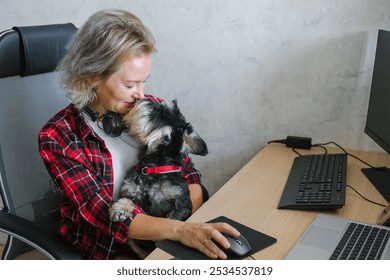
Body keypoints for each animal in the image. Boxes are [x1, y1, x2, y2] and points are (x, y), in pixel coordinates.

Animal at [108, 98, 209, 258]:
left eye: (163, 114)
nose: (141, 99)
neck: (154, 168)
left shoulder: (181, 203)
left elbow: (173, 219)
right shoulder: (131, 191)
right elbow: (126, 199)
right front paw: (119, 209)